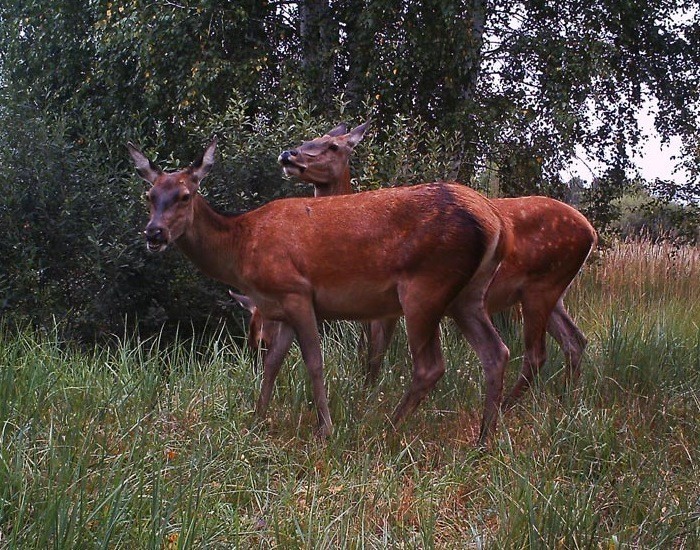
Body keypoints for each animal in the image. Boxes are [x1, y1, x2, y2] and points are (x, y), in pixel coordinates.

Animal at [130, 138, 508, 448]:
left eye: (185, 195)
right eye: (149, 196)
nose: (154, 233)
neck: (242, 248)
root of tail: (494, 221)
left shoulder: (296, 290)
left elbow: (314, 362)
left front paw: (325, 429)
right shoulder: (278, 307)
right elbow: (272, 363)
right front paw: (257, 419)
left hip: (425, 286)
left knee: (430, 365)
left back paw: (385, 428)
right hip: (468, 294)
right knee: (496, 352)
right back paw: (483, 439)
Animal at [235, 123, 596, 412]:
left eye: (333, 146)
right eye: (311, 137)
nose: (288, 154)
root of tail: (591, 232)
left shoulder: (386, 307)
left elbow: (375, 355)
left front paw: (367, 398)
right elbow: (369, 354)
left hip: (538, 287)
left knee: (537, 354)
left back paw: (512, 407)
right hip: (551, 293)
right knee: (574, 340)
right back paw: (568, 400)